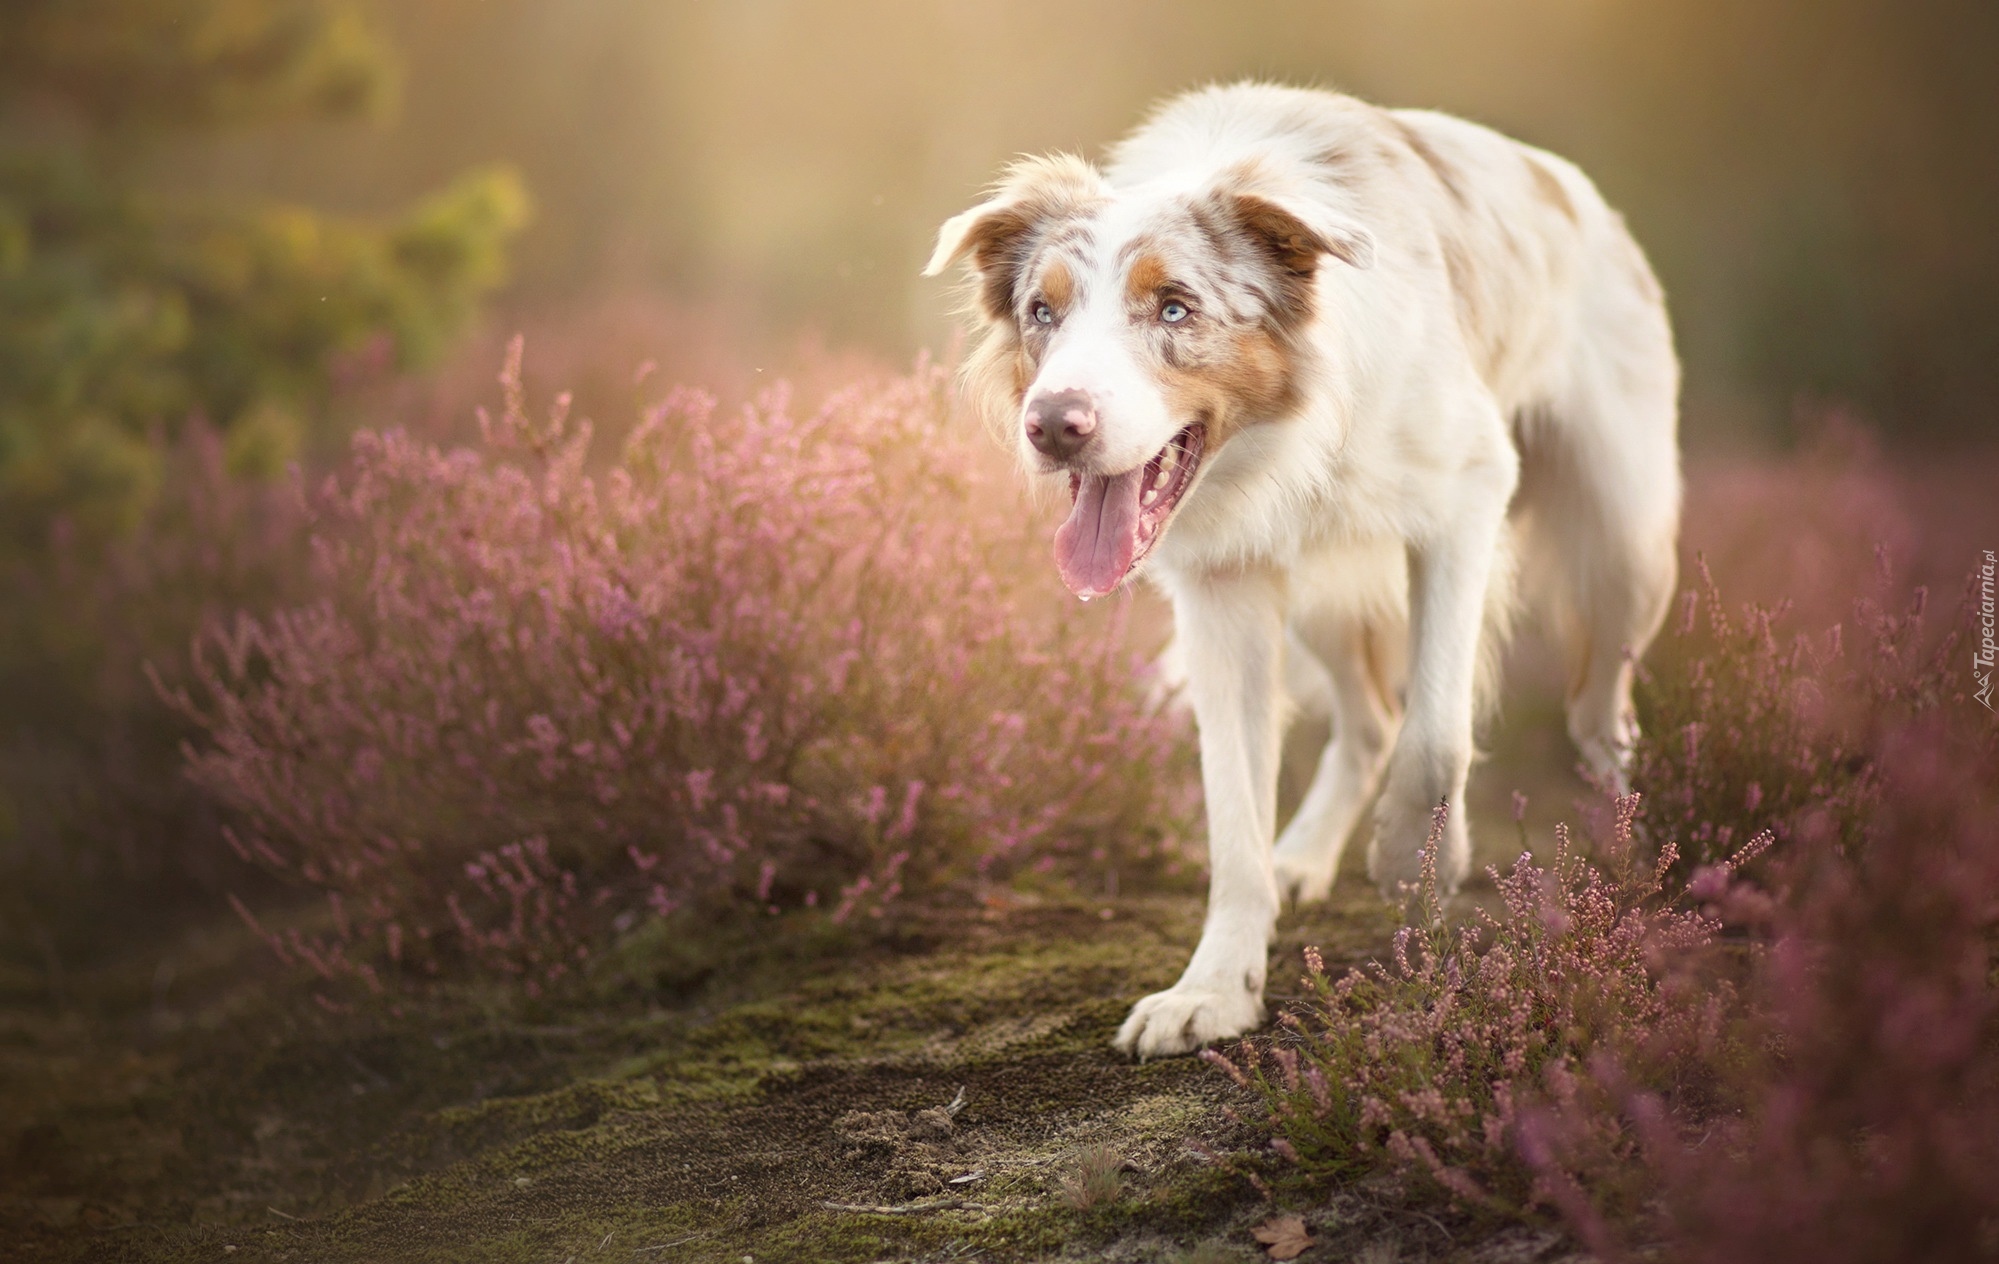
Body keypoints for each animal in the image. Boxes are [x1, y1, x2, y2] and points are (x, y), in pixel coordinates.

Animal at [927, 84, 1679, 1064]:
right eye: (1040, 312)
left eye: (1175, 308)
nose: (1053, 425)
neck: (1288, 431)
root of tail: (1582, 193)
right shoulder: (1224, 587)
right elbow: (1233, 818)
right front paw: (1214, 989)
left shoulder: (1465, 498)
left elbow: (1436, 738)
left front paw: (1413, 866)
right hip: (1315, 593)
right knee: (1369, 723)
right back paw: (1302, 857)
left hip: (1621, 548)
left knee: (1597, 717)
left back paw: (1633, 865)